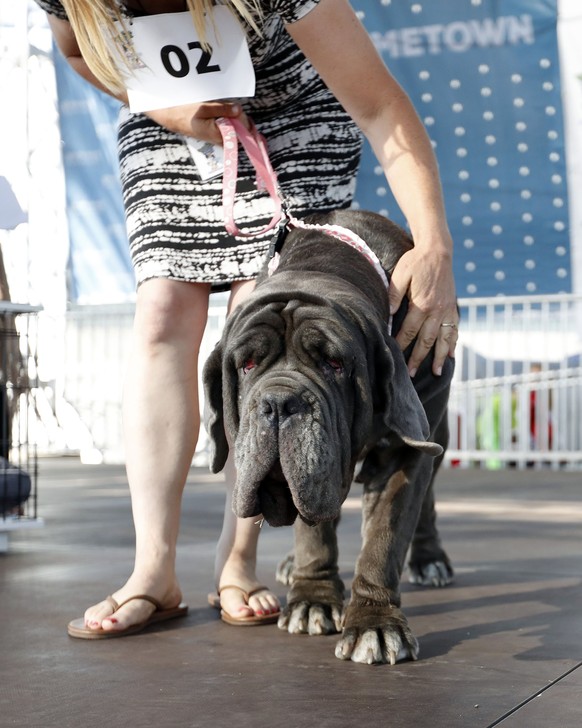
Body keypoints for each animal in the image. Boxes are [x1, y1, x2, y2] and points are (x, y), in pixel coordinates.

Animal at [204, 209, 456, 664]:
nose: (279, 403)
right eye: (247, 364)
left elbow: (385, 540)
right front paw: (314, 601)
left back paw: (430, 560)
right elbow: (314, 533)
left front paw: (375, 625)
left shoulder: (404, 453)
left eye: (334, 364)